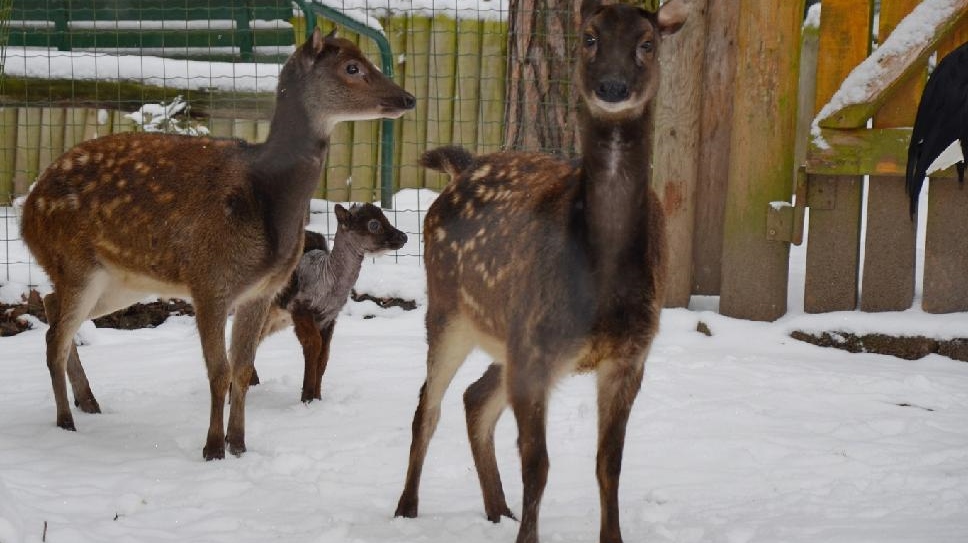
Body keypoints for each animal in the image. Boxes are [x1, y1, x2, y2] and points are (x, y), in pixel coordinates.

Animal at [21, 27, 416, 462]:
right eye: (352, 67)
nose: (408, 98)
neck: (265, 197)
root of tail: (27, 212)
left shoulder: (261, 291)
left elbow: (241, 369)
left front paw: (239, 444)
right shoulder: (208, 281)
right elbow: (218, 370)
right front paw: (212, 448)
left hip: (118, 282)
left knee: (52, 307)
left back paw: (89, 401)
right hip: (74, 262)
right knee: (54, 337)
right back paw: (66, 421)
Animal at [390, 2, 684, 540]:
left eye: (647, 42)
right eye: (589, 37)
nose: (612, 86)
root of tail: (460, 168)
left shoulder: (631, 354)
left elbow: (609, 464)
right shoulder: (535, 346)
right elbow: (538, 465)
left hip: (505, 334)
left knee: (474, 397)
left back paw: (496, 508)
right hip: (449, 309)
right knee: (428, 403)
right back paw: (407, 507)